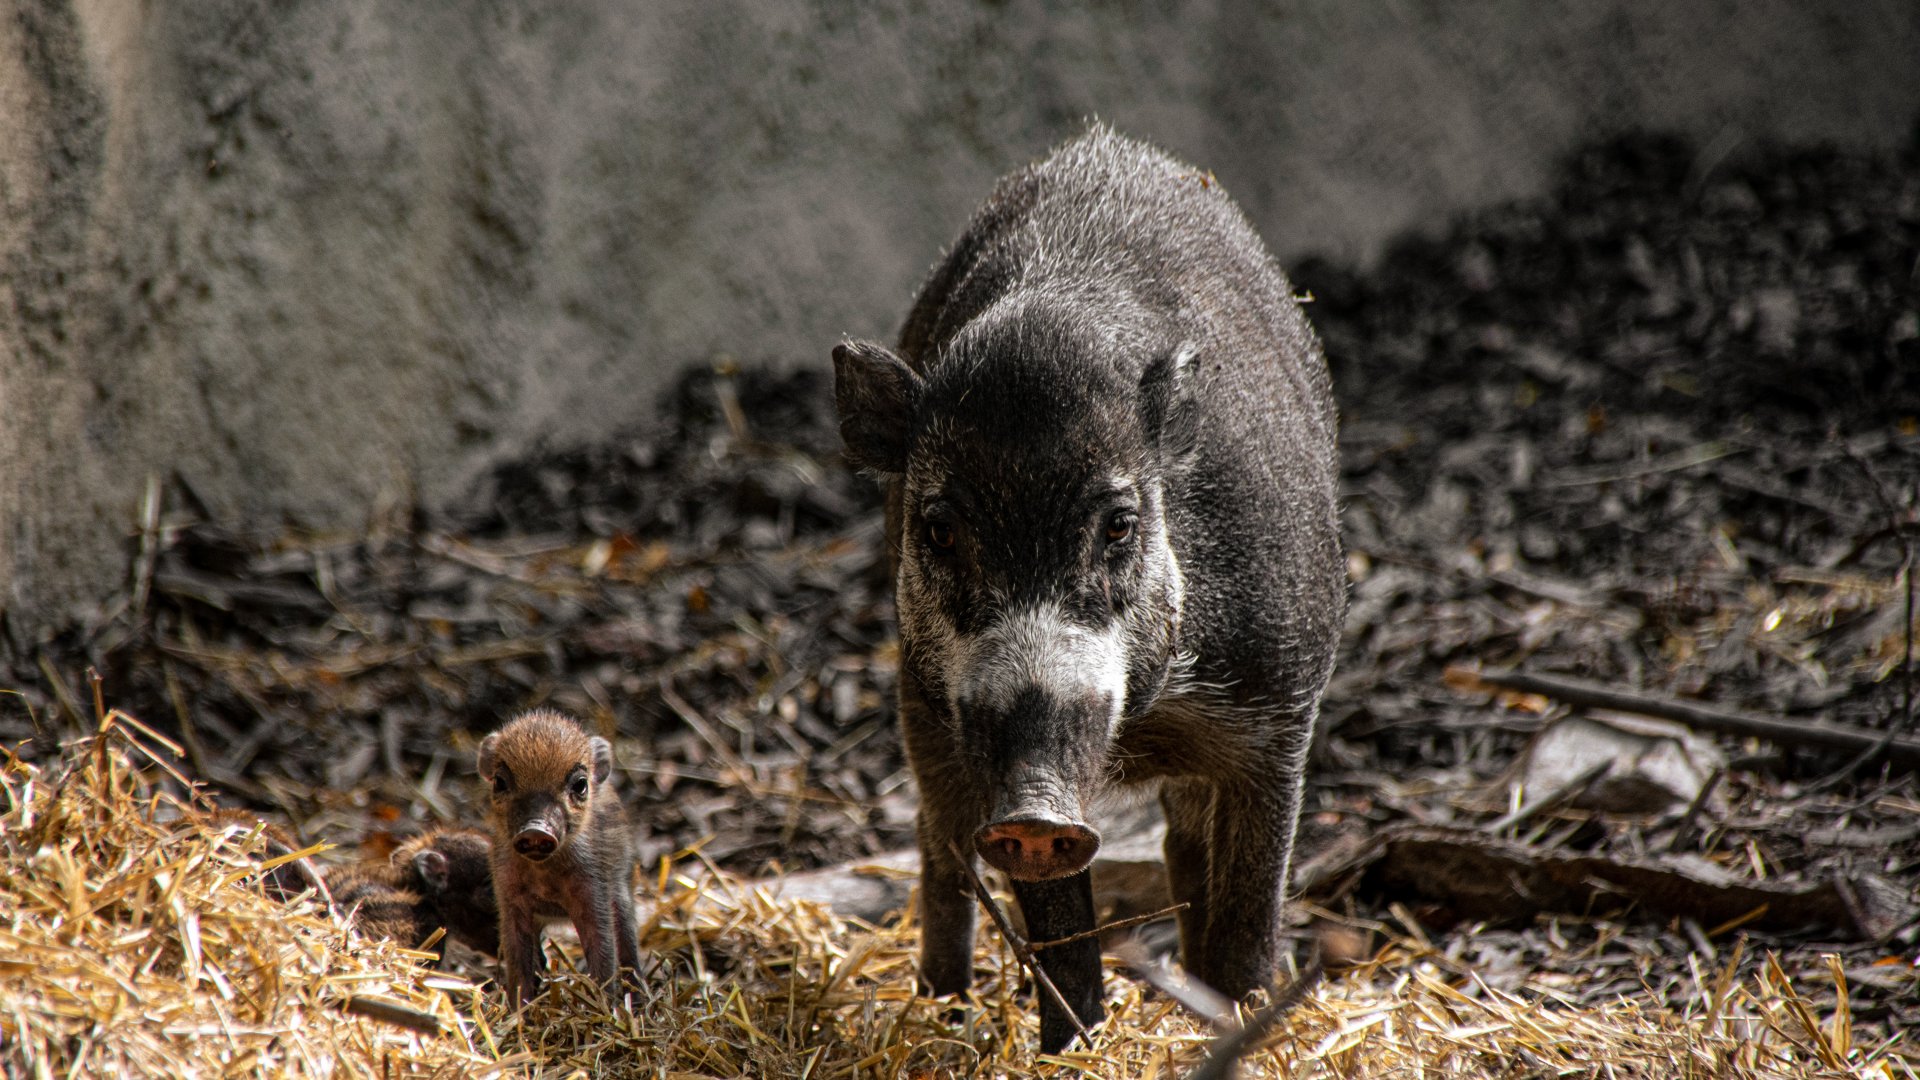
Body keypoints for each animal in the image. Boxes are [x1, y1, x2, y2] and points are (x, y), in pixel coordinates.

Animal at [477, 709, 642, 1007]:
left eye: (580, 784)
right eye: (500, 781)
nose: (535, 830)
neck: (544, 873)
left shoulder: (594, 891)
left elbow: (603, 953)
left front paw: (604, 1008)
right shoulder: (508, 896)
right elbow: (518, 959)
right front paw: (520, 1009)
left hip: (623, 890)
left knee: (628, 946)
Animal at [832, 125, 1343, 1051]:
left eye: (1118, 523)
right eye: (938, 529)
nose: (1038, 809)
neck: (1148, 716)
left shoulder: (1282, 703)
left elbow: (1253, 900)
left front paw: (1242, 1016)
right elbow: (1061, 932)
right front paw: (1075, 1047)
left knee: (1185, 847)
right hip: (921, 708)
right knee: (939, 849)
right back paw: (941, 1002)